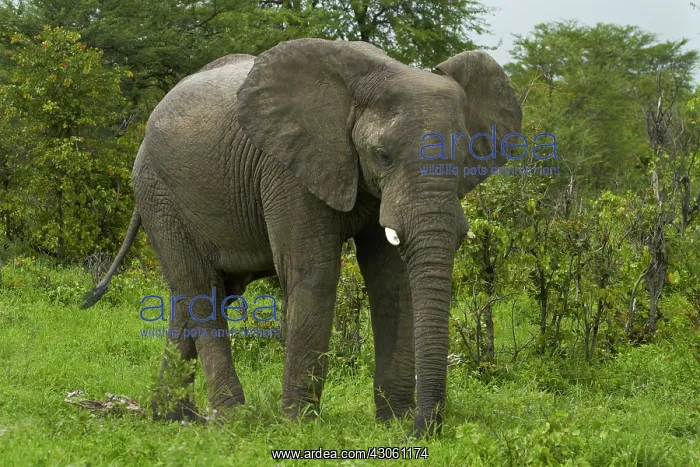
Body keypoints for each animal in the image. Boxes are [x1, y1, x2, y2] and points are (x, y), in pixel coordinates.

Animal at [81, 38, 521, 437]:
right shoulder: (288, 169)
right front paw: (300, 426)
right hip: (159, 193)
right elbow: (315, 274)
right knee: (199, 291)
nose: (422, 432)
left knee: (199, 295)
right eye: (382, 156)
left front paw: (392, 422)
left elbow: (391, 282)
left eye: (463, 158)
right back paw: (231, 420)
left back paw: (173, 418)